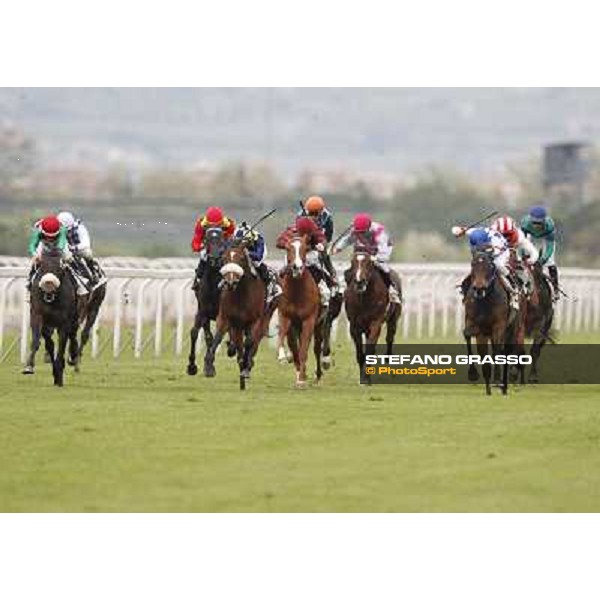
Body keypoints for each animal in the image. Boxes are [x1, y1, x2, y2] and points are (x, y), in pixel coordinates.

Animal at [22, 246, 79, 386]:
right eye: (41, 266)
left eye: (60, 267)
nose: (49, 283)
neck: (51, 297)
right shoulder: (37, 315)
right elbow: (38, 341)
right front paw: (29, 366)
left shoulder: (64, 322)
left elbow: (62, 344)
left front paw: (59, 373)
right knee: (50, 343)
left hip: (74, 318)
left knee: (73, 335)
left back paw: (72, 357)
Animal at [203, 241, 266, 392]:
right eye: (224, 258)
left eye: (241, 258)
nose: (230, 282)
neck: (241, 294)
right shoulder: (225, 319)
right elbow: (217, 338)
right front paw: (208, 365)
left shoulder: (256, 320)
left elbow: (249, 342)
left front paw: (246, 366)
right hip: (237, 327)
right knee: (238, 344)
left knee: (250, 342)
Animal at [278, 234, 326, 390]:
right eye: (288, 248)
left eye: (305, 248)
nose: (297, 267)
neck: (297, 292)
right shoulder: (285, 316)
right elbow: (283, 338)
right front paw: (283, 356)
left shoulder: (308, 320)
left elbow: (304, 349)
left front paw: (301, 380)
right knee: (294, 346)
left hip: (319, 325)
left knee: (316, 348)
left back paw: (317, 375)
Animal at [344, 250, 400, 382]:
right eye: (352, 262)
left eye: (369, 263)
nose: (359, 282)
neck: (364, 299)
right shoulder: (354, 326)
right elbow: (360, 353)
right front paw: (362, 377)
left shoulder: (375, 323)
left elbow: (370, 350)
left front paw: (367, 379)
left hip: (393, 319)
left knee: (389, 338)